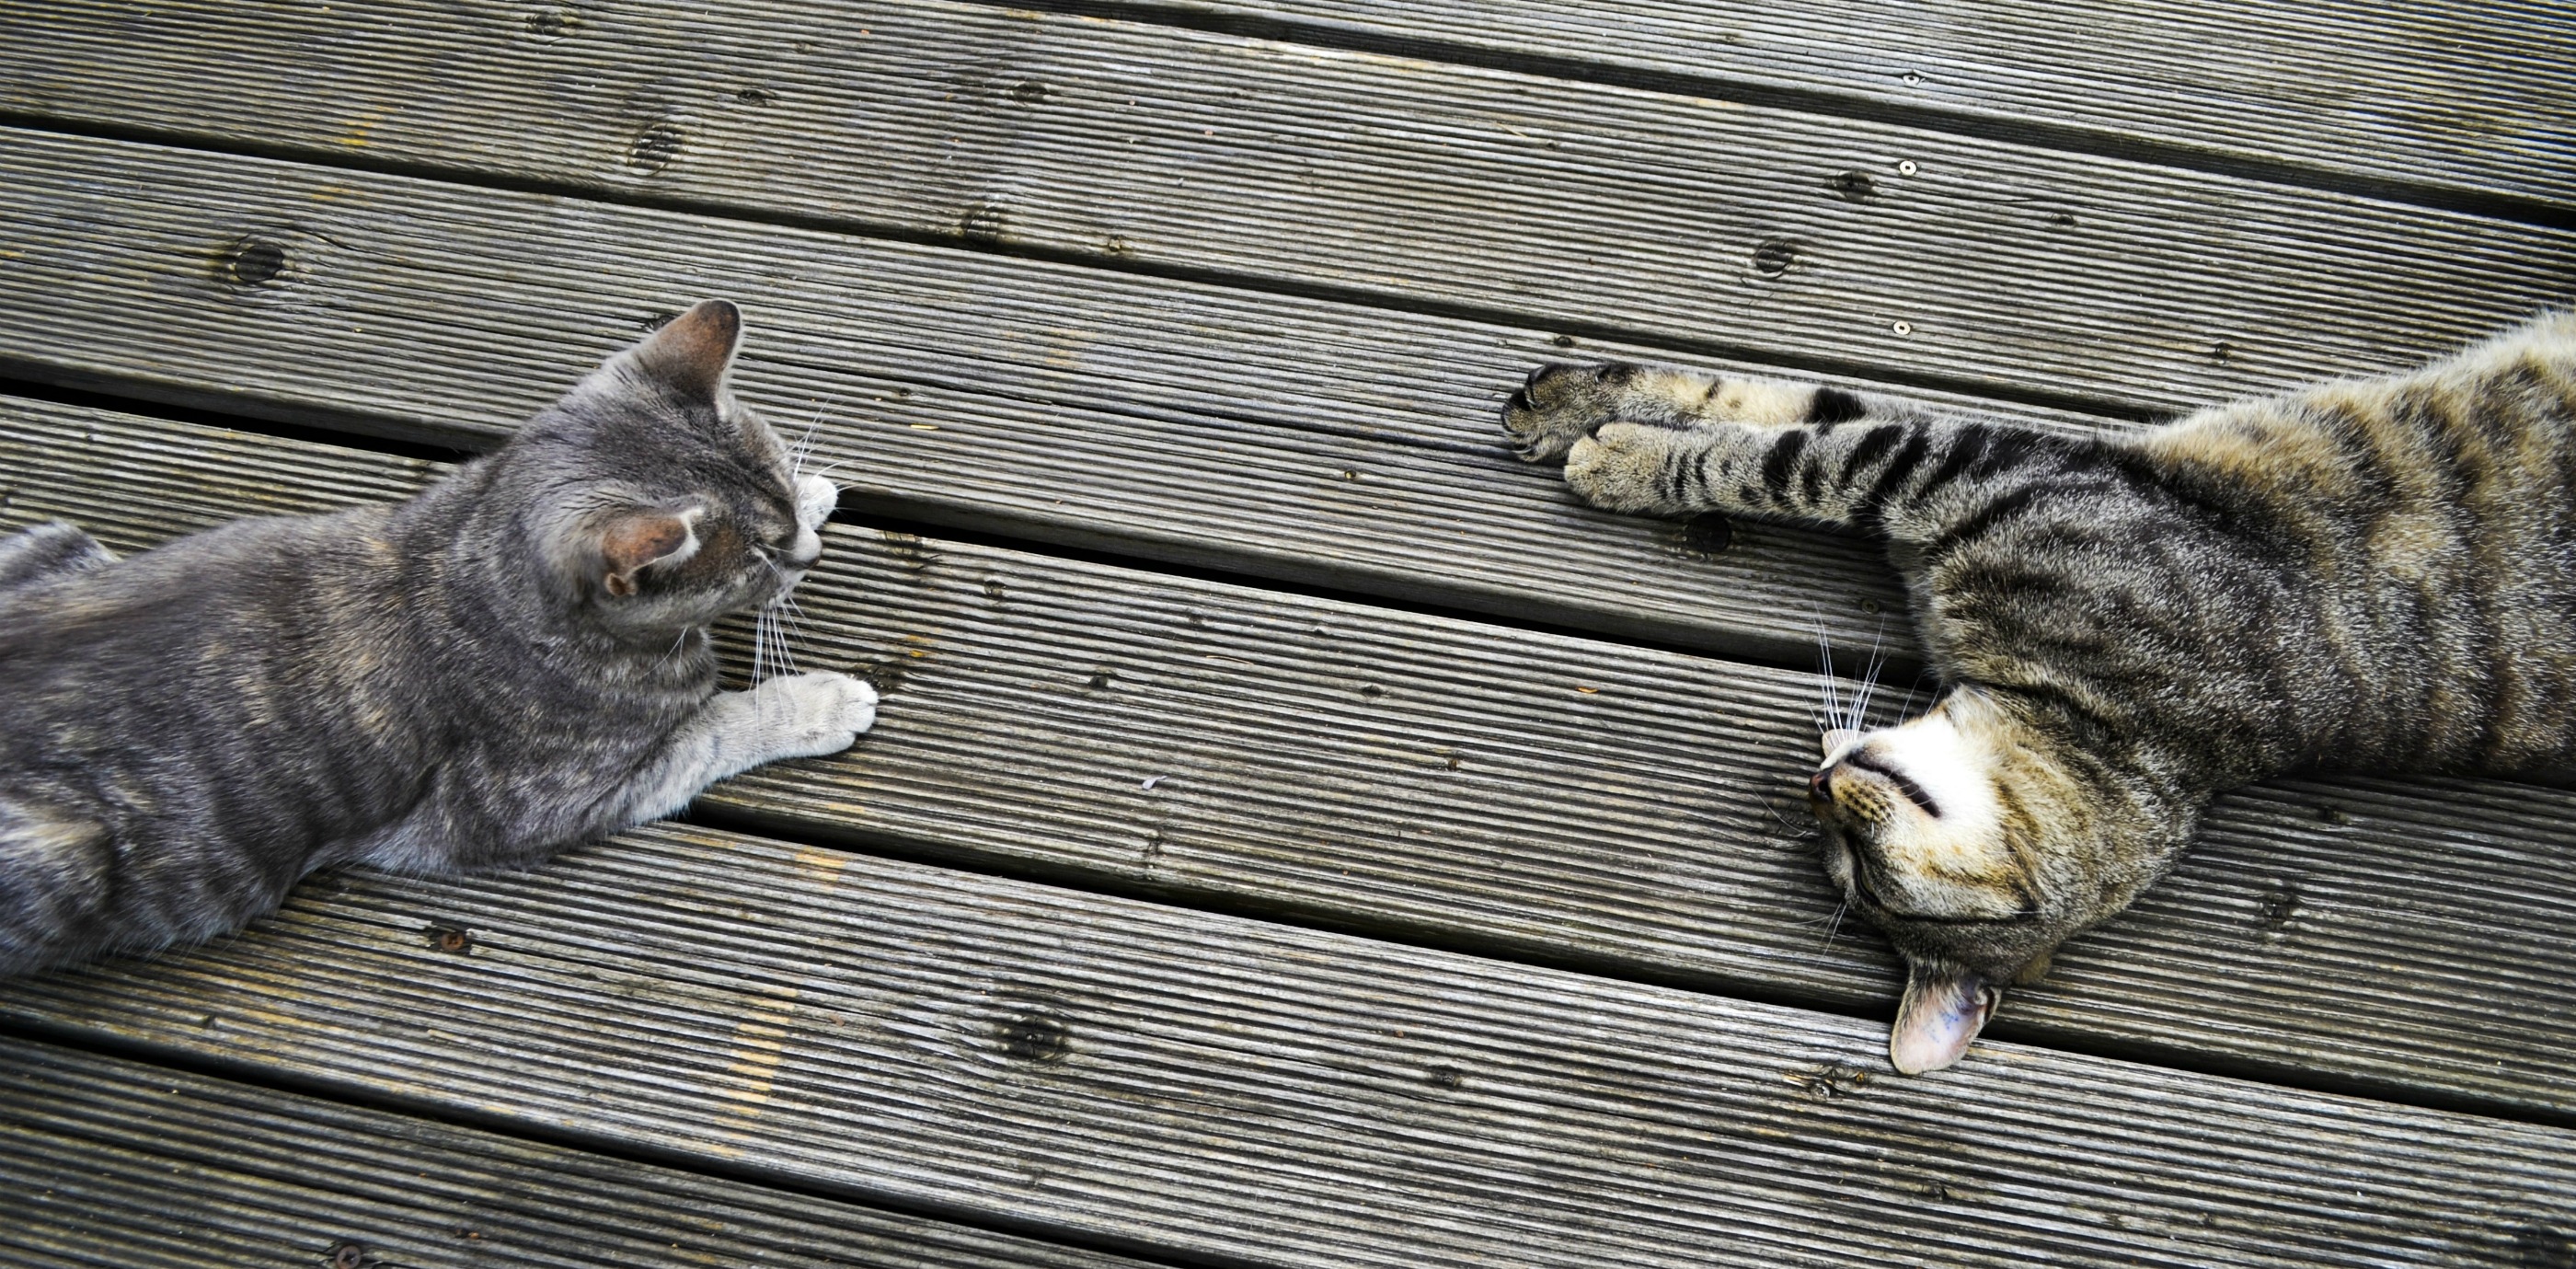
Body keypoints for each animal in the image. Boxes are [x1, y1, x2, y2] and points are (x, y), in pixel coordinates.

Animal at [0, 297, 876, 969]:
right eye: (759, 556)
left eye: (777, 501)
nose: (807, 551)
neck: (475, 562)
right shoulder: (526, 806)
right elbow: (722, 724)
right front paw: (821, 702)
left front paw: (814, 488)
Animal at [1504, 314, 2576, 1072]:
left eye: (1859, 870)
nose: (1812, 784)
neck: (2107, 721)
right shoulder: (1959, 452)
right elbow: (1775, 402)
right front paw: (1570, 406)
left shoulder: (1953, 463)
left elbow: (1775, 456)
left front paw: (1620, 455)